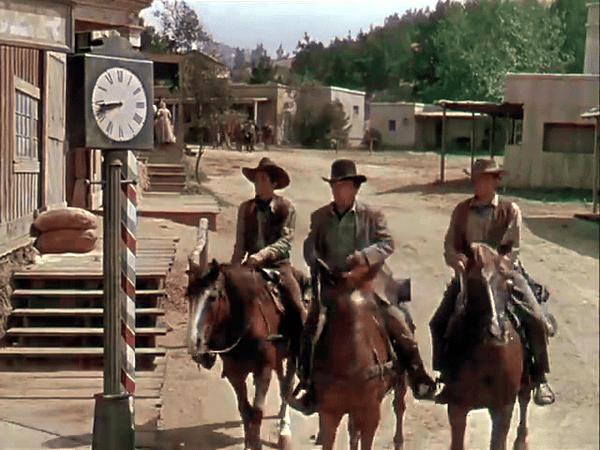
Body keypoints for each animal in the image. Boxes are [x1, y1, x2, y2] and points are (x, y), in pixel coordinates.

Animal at [187, 260, 296, 450]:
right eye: (188, 296)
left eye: (212, 297)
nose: (195, 342)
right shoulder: (235, 374)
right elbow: (245, 410)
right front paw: (249, 443)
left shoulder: (263, 371)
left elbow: (257, 411)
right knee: (283, 384)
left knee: (287, 387)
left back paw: (284, 432)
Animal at [311, 261, 409, 450]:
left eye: (375, 306)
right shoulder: (328, 413)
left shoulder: (370, 414)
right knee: (353, 429)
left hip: (401, 382)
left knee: (399, 406)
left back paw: (399, 441)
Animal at [440, 243, 535, 450]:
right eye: (473, 280)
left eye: (507, 280)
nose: (497, 332)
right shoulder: (457, 407)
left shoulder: (503, 408)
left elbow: (498, 442)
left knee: (525, 399)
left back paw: (521, 441)